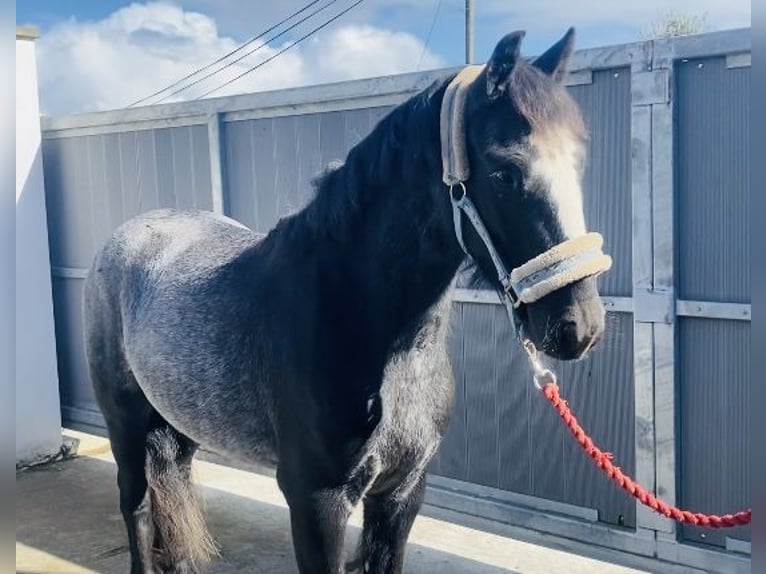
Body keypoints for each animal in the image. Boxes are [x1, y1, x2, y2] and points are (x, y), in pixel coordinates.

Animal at [82, 28, 612, 574]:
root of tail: (130, 235)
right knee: (137, 504)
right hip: (125, 424)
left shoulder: (402, 492)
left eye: (579, 163)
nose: (579, 326)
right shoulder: (317, 501)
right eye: (504, 172)